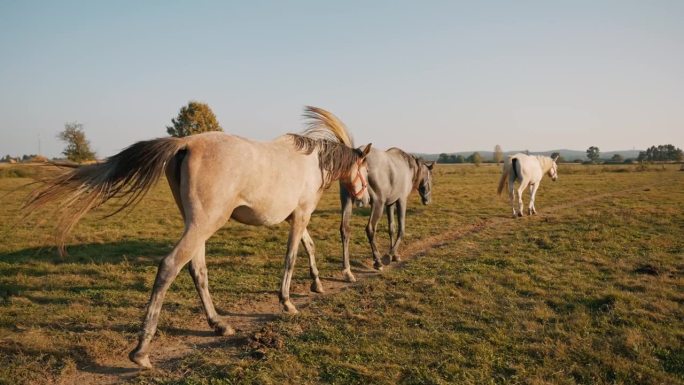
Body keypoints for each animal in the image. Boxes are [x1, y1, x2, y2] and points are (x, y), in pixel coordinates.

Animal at [24, 105, 372, 366]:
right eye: (366, 170)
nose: (366, 199)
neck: (313, 163)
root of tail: (185, 143)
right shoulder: (299, 216)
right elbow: (292, 256)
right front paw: (287, 301)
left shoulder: (298, 218)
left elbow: (309, 247)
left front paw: (318, 284)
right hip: (204, 223)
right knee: (171, 266)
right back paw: (142, 350)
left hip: (199, 224)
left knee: (197, 268)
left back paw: (218, 324)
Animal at [340, 146, 436, 280]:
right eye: (430, 177)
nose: (427, 200)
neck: (409, 167)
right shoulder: (401, 200)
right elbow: (401, 229)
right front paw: (389, 256)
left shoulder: (390, 204)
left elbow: (392, 229)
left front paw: (394, 254)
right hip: (377, 203)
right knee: (370, 229)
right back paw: (378, 261)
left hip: (347, 201)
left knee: (345, 229)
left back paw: (347, 270)